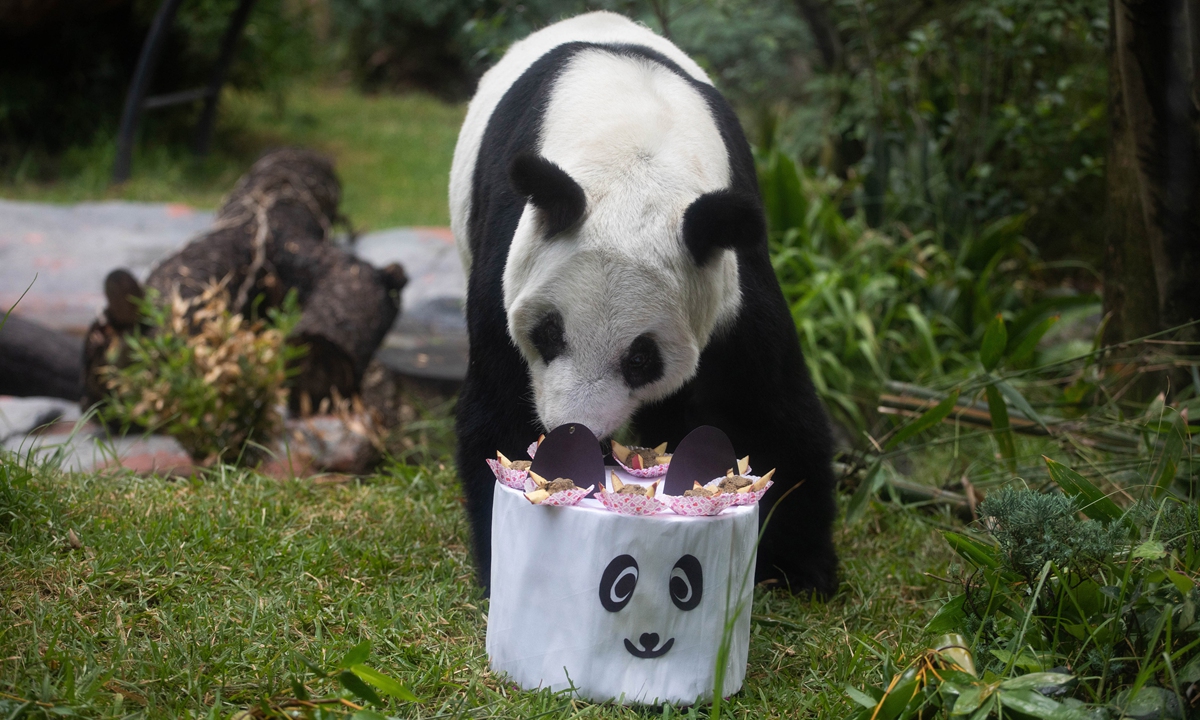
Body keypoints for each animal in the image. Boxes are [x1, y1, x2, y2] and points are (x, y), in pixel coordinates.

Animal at [449, 11, 838, 598]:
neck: (638, 153)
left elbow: (762, 405)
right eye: (549, 333)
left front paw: (803, 566)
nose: (576, 431)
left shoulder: (729, 271)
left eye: (640, 358)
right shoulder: (512, 254)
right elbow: (498, 406)